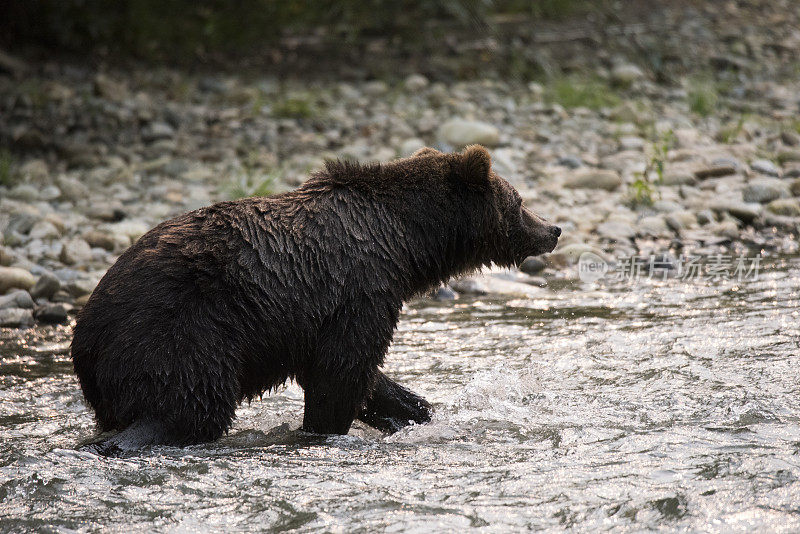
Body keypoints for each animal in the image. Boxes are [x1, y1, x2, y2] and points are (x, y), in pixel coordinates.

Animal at [72, 146, 560, 452]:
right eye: (520, 201)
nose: (553, 229)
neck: (404, 242)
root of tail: (85, 338)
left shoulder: (318, 318)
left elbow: (357, 375)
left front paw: (416, 410)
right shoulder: (360, 289)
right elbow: (342, 374)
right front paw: (324, 432)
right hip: (183, 326)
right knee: (191, 402)